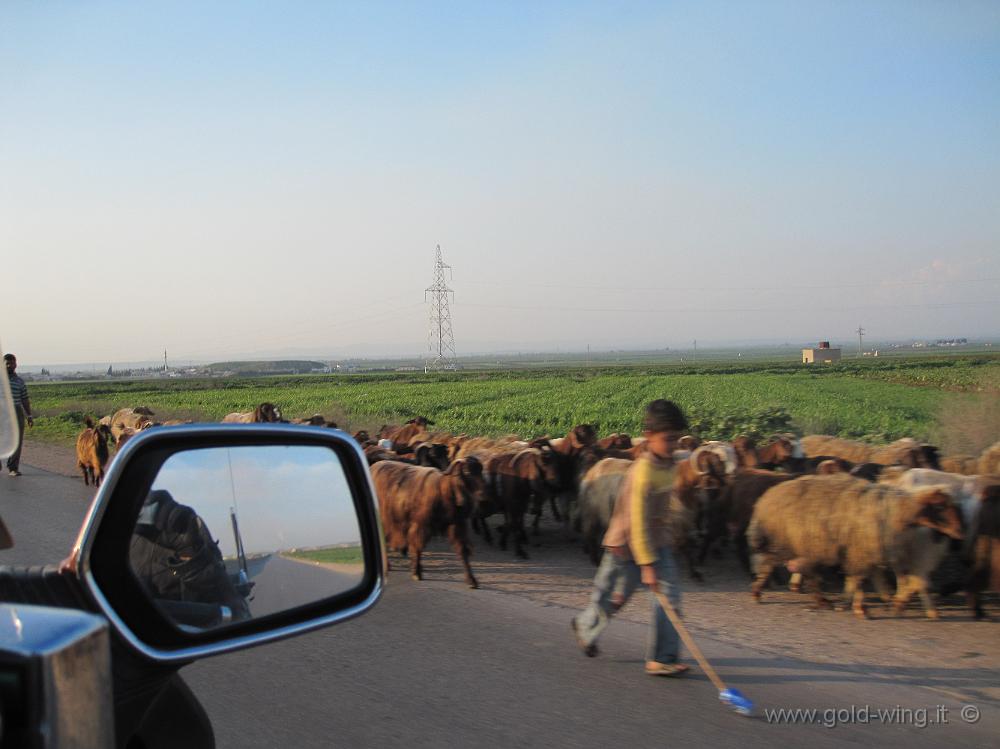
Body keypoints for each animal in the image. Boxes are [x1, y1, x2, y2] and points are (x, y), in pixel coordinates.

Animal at [374, 452, 486, 588]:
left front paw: (471, 580)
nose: (482, 495)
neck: (443, 491)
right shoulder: (420, 525)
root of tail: (373, 466)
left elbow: (463, 551)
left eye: (481, 470)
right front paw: (417, 572)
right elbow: (417, 548)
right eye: (467, 472)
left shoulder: (456, 525)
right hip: (384, 520)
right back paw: (387, 565)